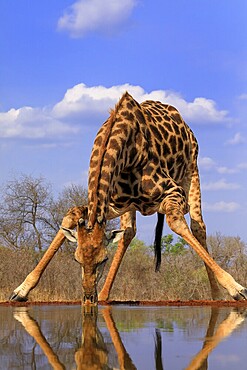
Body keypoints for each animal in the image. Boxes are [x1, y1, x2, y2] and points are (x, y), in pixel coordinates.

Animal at [9, 92, 247, 304]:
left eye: (103, 259)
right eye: (76, 259)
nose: (88, 298)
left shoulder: (173, 192)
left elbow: (177, 223)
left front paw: (236, 288)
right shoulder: (113, 204)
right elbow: (73, 214)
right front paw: (21, 290)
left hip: (192, 171)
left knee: (198, 226)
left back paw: (217, 295)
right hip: (132, 205)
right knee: (128, 232)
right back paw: (105, 295)